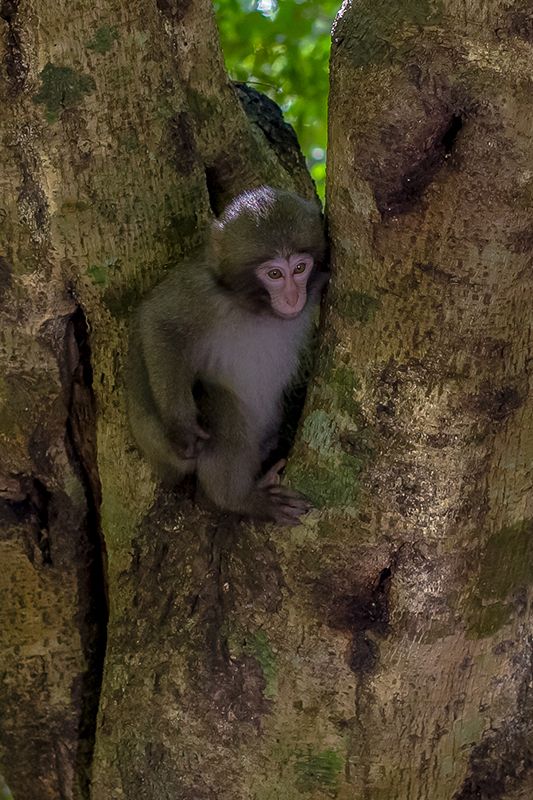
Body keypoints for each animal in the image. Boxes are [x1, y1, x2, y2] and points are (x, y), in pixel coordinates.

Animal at [127, 187, 326, 524]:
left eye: (300, 268)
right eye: (275, 274)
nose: (292, 297)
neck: (257, 308)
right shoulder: (203, 290)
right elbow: (160, 322)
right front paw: (181, 426)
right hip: (157, 442)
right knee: (217, 401)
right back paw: (238, 499)